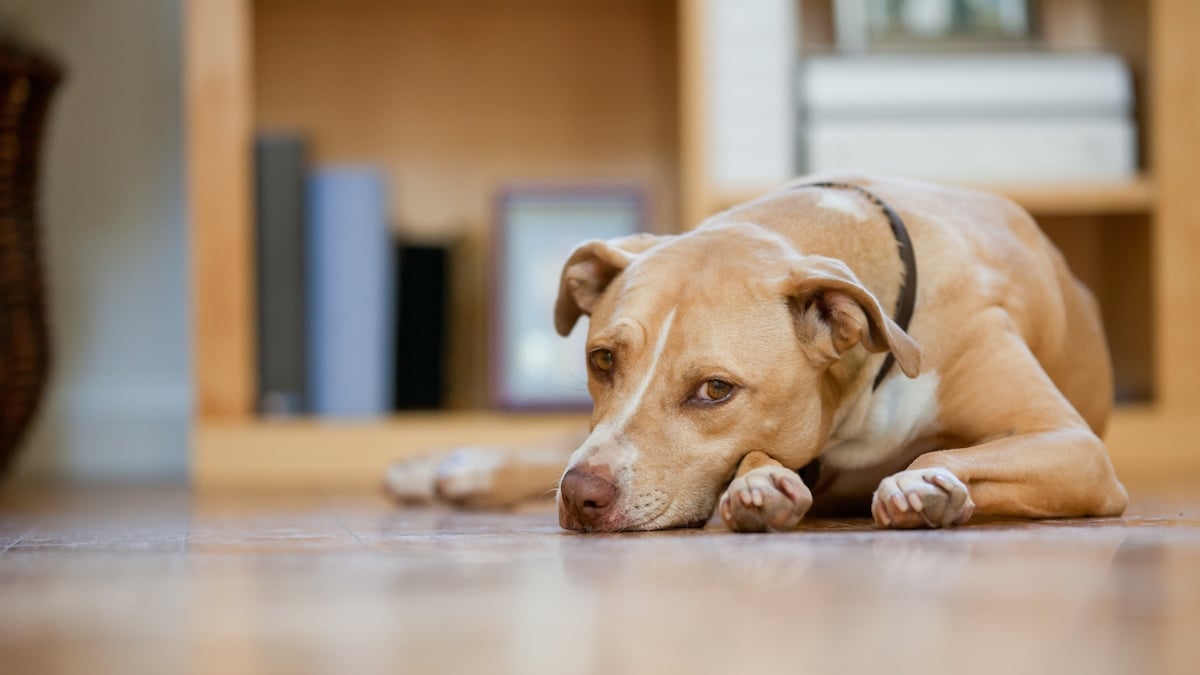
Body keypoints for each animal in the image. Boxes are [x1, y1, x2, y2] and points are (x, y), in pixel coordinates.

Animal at [388, 172, 1128, 530]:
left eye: (715, 390)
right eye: (602, 360)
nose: (581, 495)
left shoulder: (1076, 447)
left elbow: (938, 455)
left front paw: (922, 484)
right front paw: (758, 483)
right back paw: (450, 468)